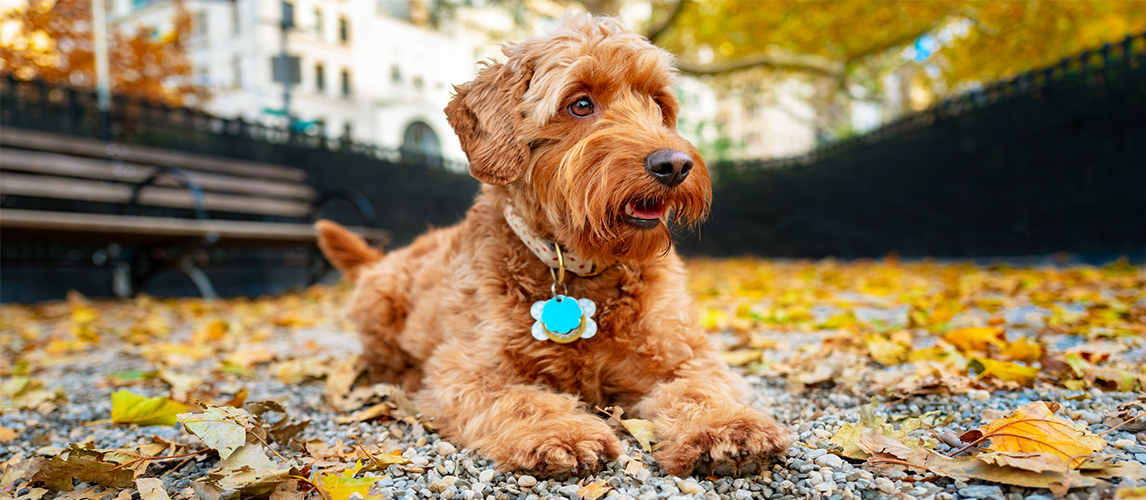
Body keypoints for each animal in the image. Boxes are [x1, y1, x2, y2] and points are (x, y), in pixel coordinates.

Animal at [318, 12, 793, 477]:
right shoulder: (471, 368)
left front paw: (726, 426)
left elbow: (699, 387)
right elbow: (520, 399)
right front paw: (559, 432)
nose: (674, 165)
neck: (579, 268)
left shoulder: (682, 353)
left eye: (659, 104)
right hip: (380, 306)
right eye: (580, 104)